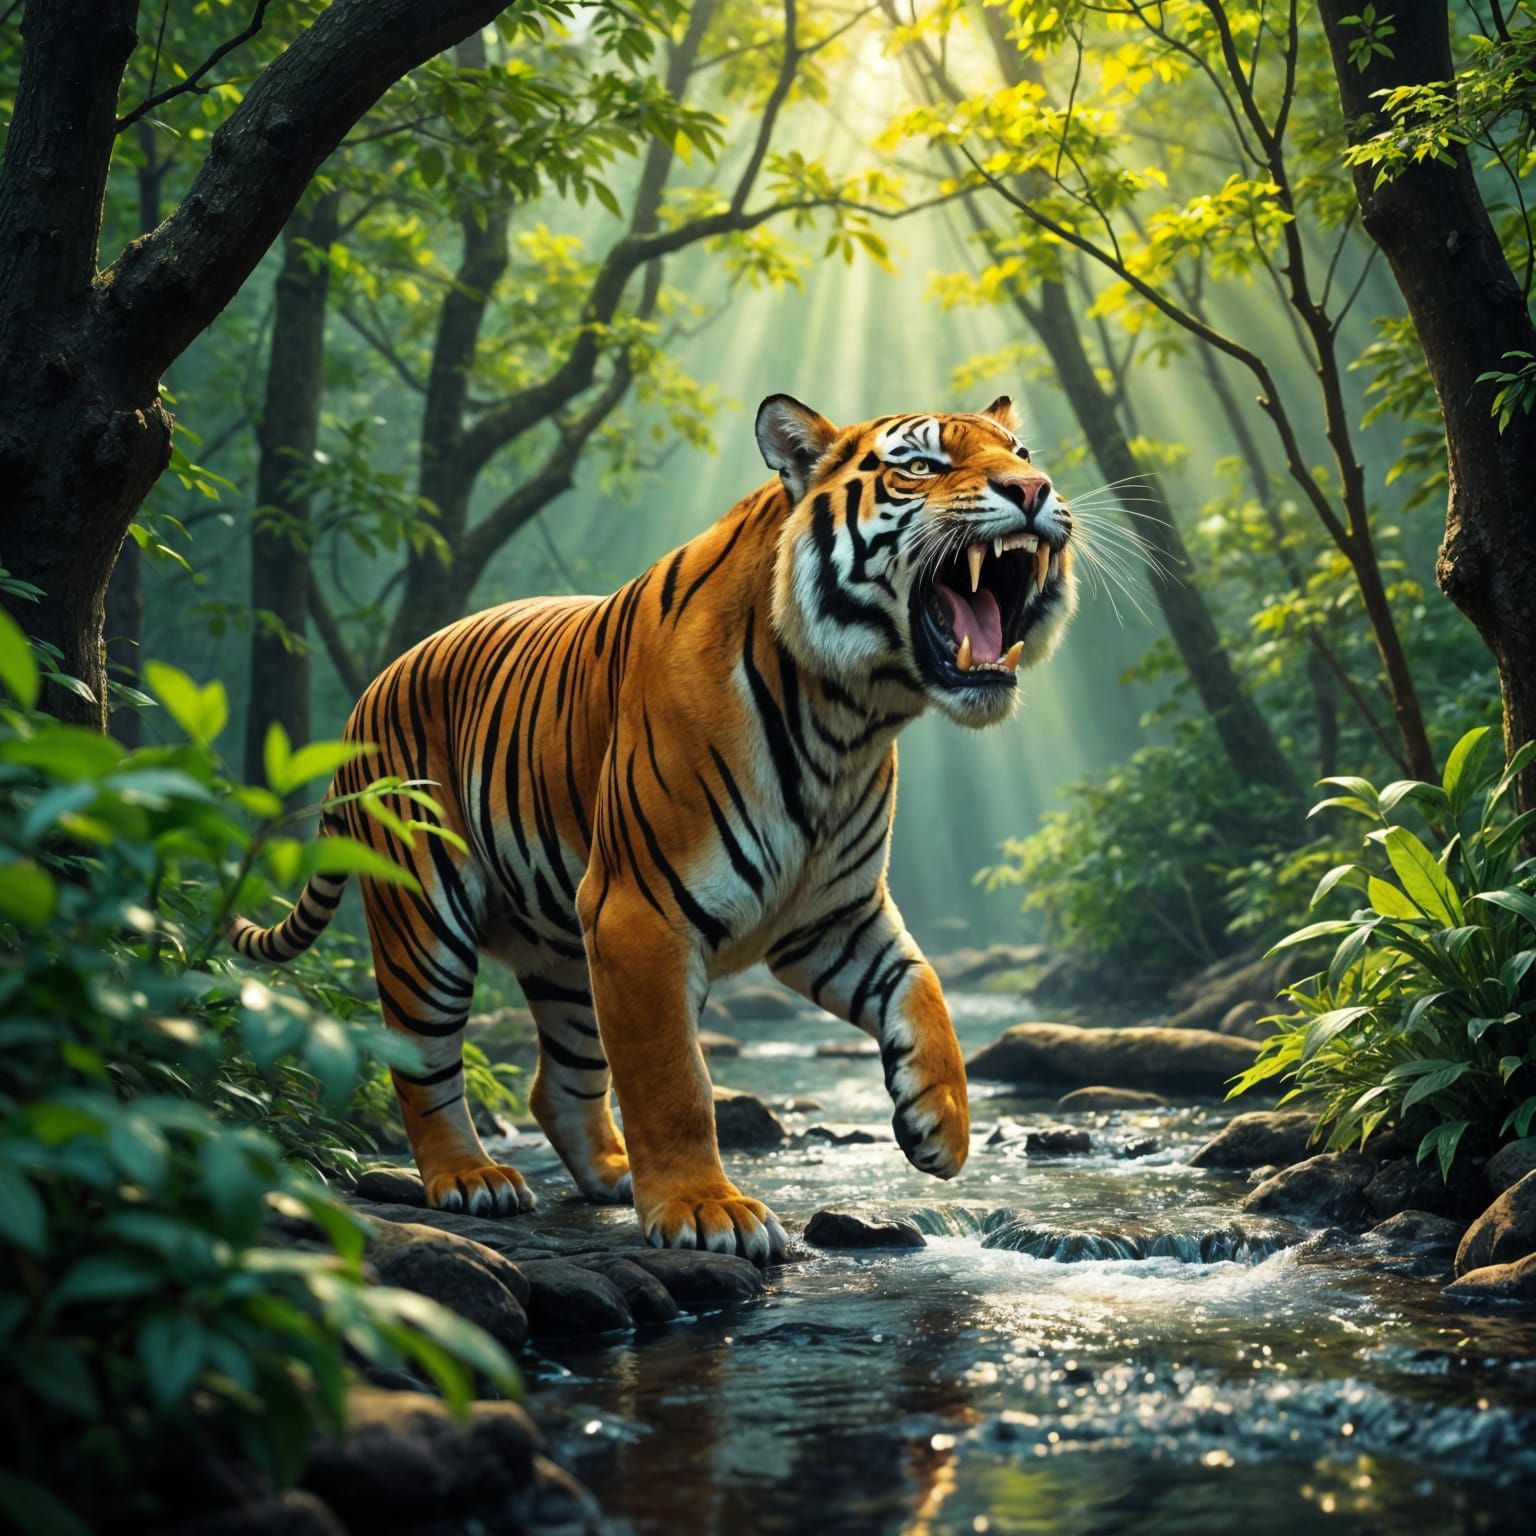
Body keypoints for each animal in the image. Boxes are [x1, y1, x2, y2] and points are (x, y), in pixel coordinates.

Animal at [230, 394, 1076, 1264]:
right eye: (921, 466)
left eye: (1022, 453)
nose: (1035, 491)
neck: (849, 716)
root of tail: (371, 689)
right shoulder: (642, 912)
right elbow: (673, 1080)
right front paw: (706, 1209)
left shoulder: (830, 918)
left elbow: (923, 986)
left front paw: (941, 1123)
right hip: (425, 923)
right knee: (420, 1063)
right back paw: (470, 1177)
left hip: (568, 952)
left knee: (558, 1082)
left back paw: (612, 1172)